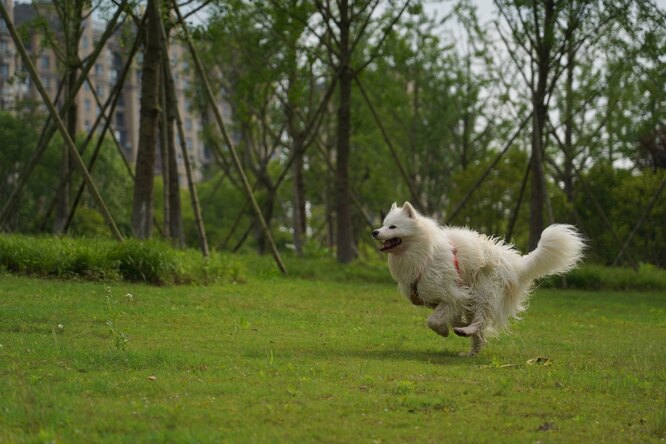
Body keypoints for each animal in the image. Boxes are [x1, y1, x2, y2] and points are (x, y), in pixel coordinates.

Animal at [370, 203, 584, 356]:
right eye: (383, 224)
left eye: (393, 227)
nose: (375, 232)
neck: (424, 254)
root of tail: (514, 262)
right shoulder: (448, 300)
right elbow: (446, 317)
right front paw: (451, 327)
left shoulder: (455, 295)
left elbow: (433, 321)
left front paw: (444, 331)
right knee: (479, 330)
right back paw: (471, 350)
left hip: (484, 292)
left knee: (482, 319)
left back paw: (466, 331)